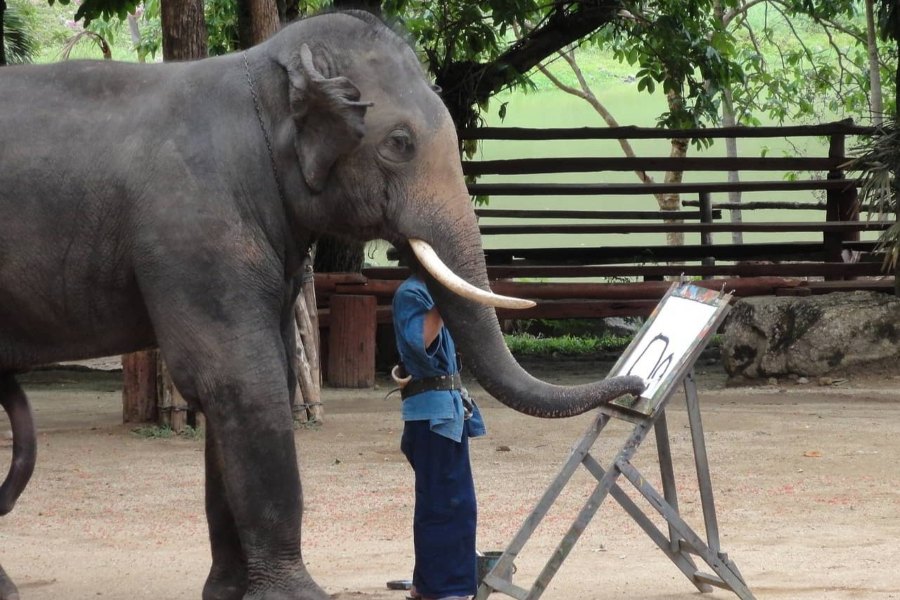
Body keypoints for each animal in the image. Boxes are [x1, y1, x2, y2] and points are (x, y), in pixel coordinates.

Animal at [0, 9, 644, 600]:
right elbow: (238, 379)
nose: (637, 384)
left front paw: (230, 595)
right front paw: (297, 596)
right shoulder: (192, 231)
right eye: (399, 144)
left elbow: (266, 378)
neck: (258, 74)